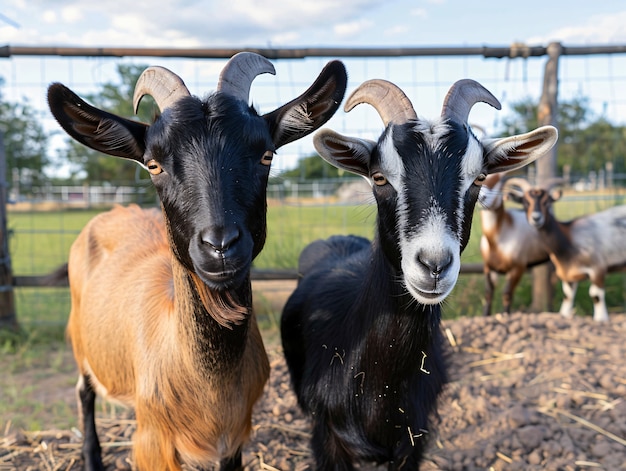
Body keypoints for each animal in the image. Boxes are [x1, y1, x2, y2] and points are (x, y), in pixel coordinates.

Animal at [47, 52, 346, 471]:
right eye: (153, 164)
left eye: (266, 154)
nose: (220, 246)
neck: (209, 386)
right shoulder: (152, 443)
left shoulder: (234, 437)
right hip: (80, 339)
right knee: (84, 391)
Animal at [478, 173, 544, 318]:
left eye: (499, 182)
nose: (482, 197)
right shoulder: (489, 268)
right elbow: (488, 293)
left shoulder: (517, 269)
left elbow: (507, 294)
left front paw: (506, 315)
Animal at [508, 179, 624, 322]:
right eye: (525, 202)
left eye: (547, 201)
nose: (536, 218)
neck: (569, 239)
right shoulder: (568, 275)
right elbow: (567, 296)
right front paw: (564, 315)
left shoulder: (597, 269)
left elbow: (596, 295)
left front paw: (601, 319)